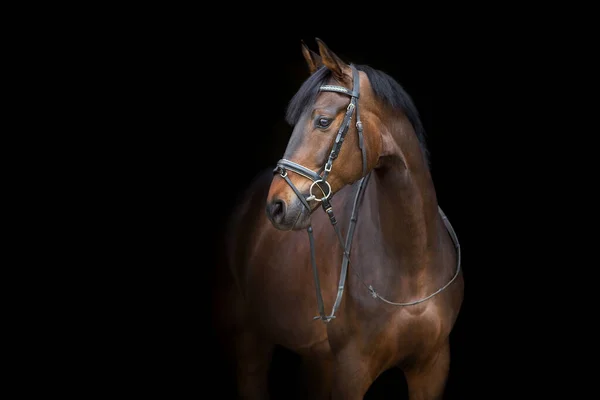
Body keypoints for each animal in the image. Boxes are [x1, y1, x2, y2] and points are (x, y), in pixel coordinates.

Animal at [213, 38, 466, 400]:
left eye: (322, 121)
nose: (276, 206)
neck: (412, 265)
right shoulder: (351, 370)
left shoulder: (431, 367)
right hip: (250, 342)